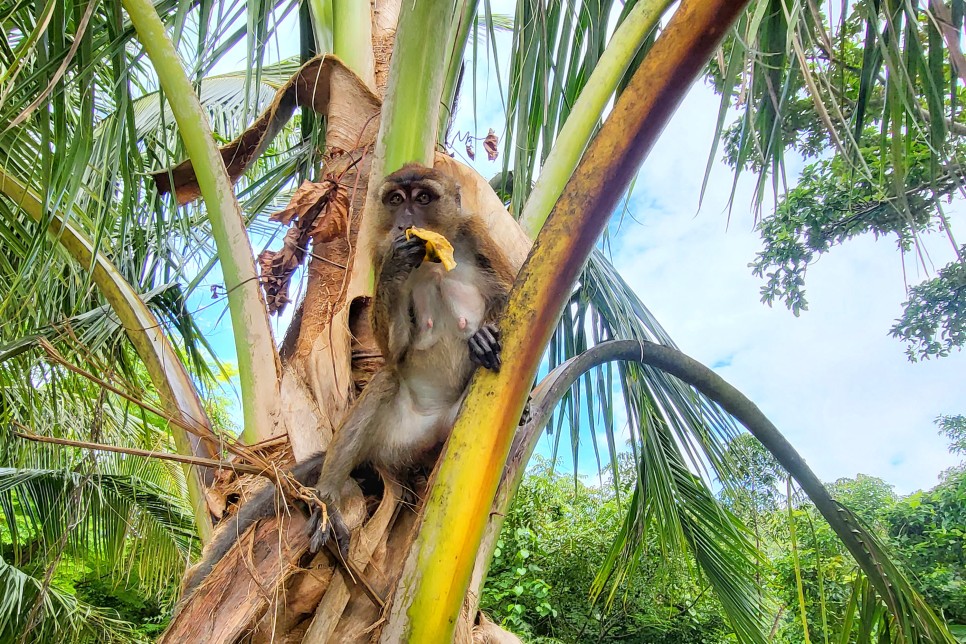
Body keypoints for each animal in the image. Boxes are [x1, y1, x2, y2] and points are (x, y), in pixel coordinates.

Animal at [179, 164, 520, 600]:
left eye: (423, 198)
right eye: (396, 200)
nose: (405, 222)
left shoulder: (475, 234)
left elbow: (510, 295)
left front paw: (485, 336)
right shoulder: (378, 250)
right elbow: (394, 352)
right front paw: (395, 268)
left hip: (454, 427)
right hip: (396, 436)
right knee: (386, 382)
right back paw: (327, 501)